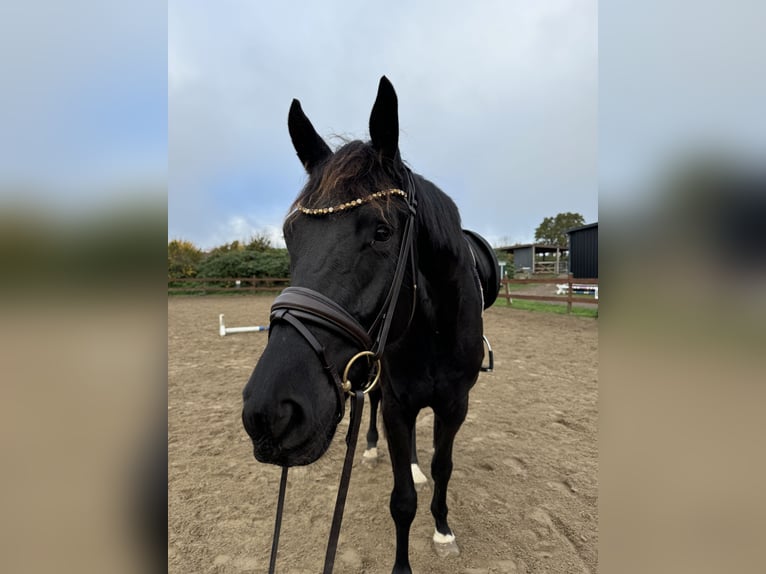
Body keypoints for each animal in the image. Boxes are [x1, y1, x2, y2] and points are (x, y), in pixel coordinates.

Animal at [243, 77, 500, 574]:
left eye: (382, 233)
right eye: (290, 236)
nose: (270, 412)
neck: (432, 332)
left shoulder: (455, 405)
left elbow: (443, 468)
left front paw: (443, 530)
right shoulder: (397, 403)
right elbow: (401, 500)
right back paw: (372, 448)